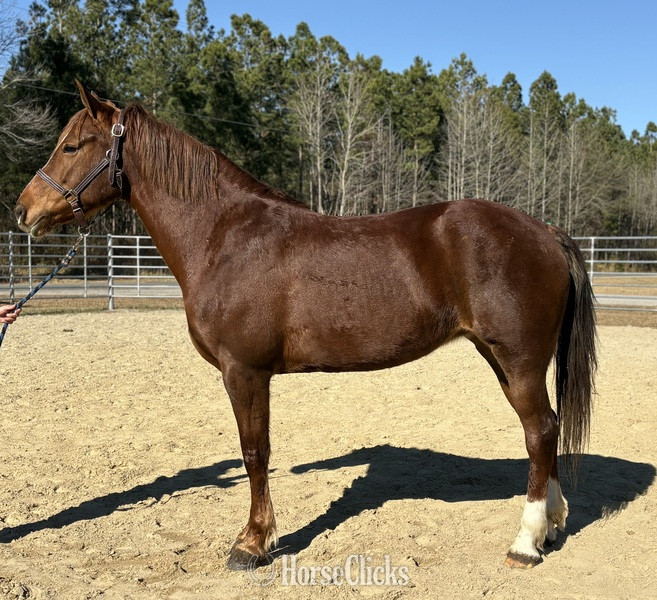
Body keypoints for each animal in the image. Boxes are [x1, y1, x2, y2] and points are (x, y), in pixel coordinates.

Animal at [14, 82, 596, 570]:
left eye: (72, 147)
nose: (23, 211)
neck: (223, 236)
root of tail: (545, 230)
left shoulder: (244, 372)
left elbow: (255, 454)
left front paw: (251, 544)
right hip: (501, 359)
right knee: (544, 431)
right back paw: (552, 524)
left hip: (518, 361)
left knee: (540, 432)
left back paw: (525, 543)